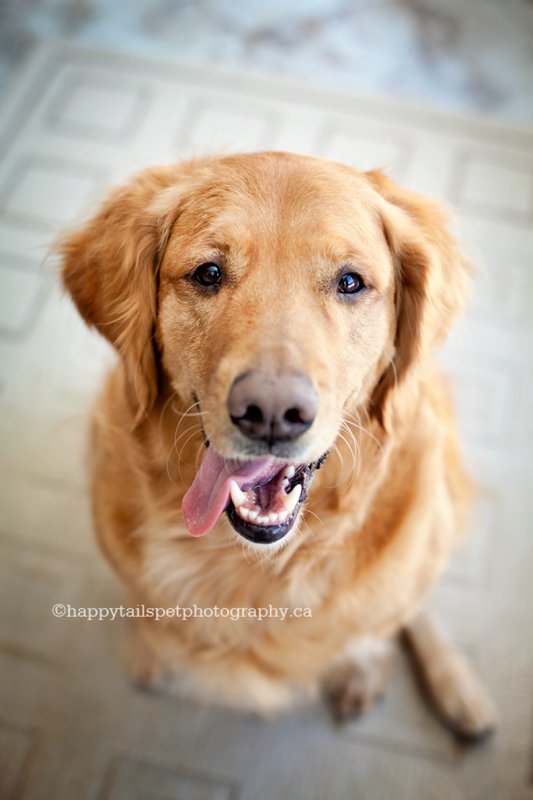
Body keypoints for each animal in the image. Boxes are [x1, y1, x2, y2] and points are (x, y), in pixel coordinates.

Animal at [61, 150, 494, 736]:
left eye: (351, 281)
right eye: (208, 273)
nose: (270, 413)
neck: (249, 565)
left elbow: (382, 620)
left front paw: (368, 664)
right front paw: (154, 649)